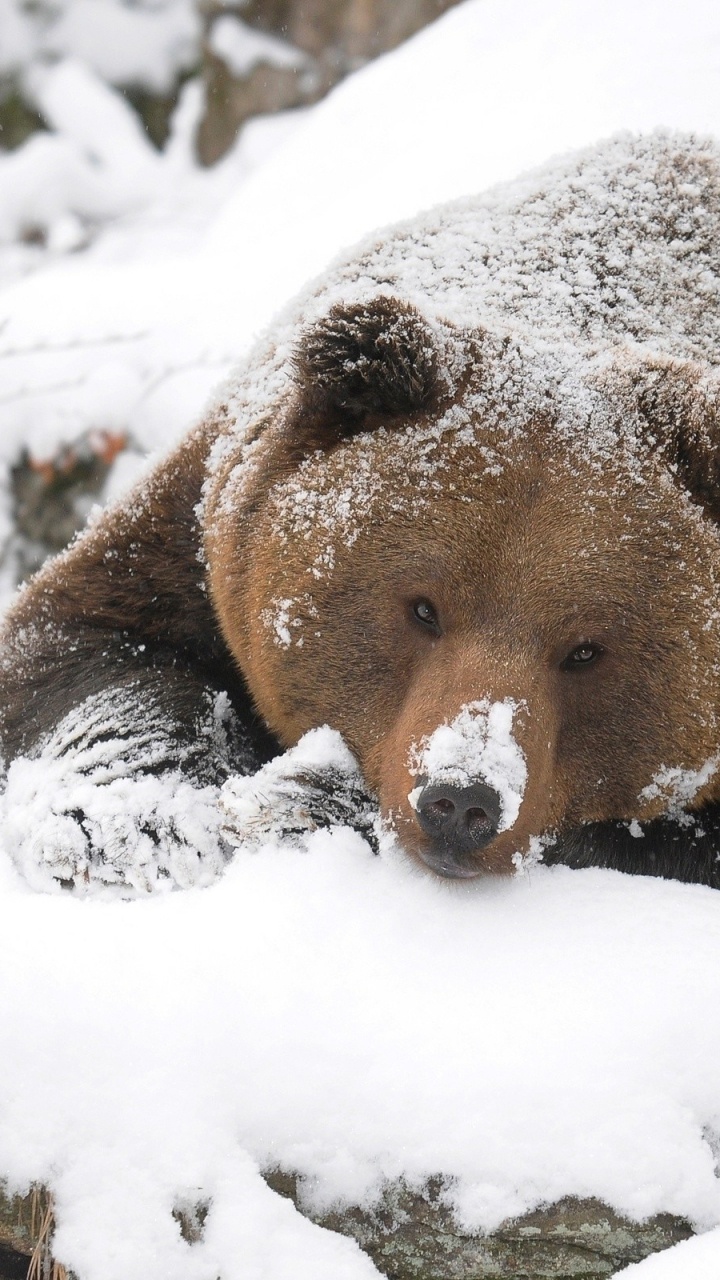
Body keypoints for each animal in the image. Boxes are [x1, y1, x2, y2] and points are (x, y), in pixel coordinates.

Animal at [3, 128, 720, 894]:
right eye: (423, 608)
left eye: (585, 649)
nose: (460, 800)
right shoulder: (206, 525)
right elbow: (79, 642)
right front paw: (137, 823)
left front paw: (300, 800)